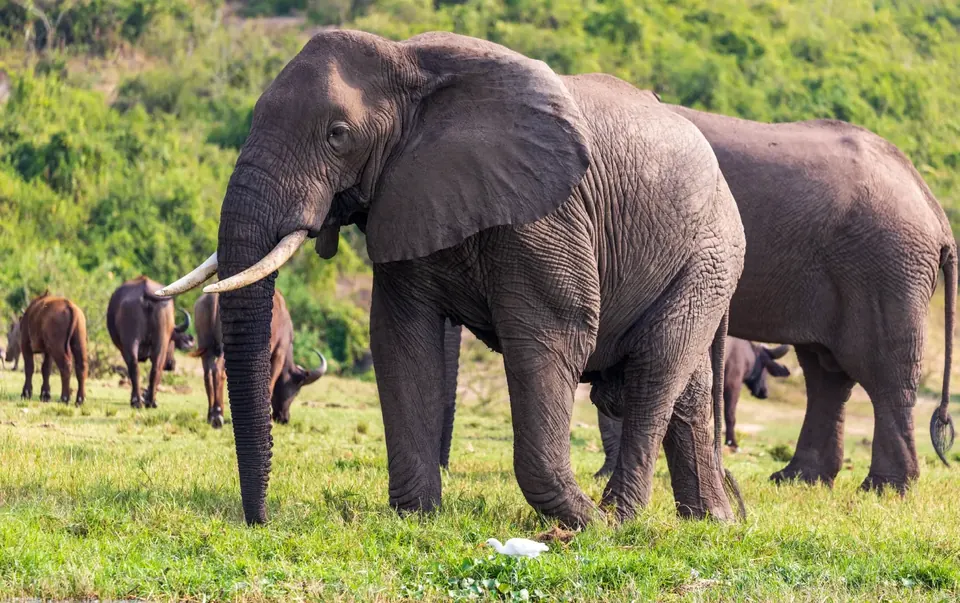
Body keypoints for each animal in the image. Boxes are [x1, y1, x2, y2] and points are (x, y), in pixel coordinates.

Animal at [106, 276, 195, 409]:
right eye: (172, 341)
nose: (171, 364)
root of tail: (145, 289)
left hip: (131, 341)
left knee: (135, 366)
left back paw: (138, 400)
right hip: (160, 341)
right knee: (155, 367)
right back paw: (150, 401)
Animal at [192, 290, 328, 427]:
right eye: (297, 391)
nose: (284, 418)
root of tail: (213, 296)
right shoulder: (278, 354)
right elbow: (271, 381)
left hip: (206, 346)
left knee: (207, 374)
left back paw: (210, 416)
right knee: (218, 371)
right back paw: (218, 415)